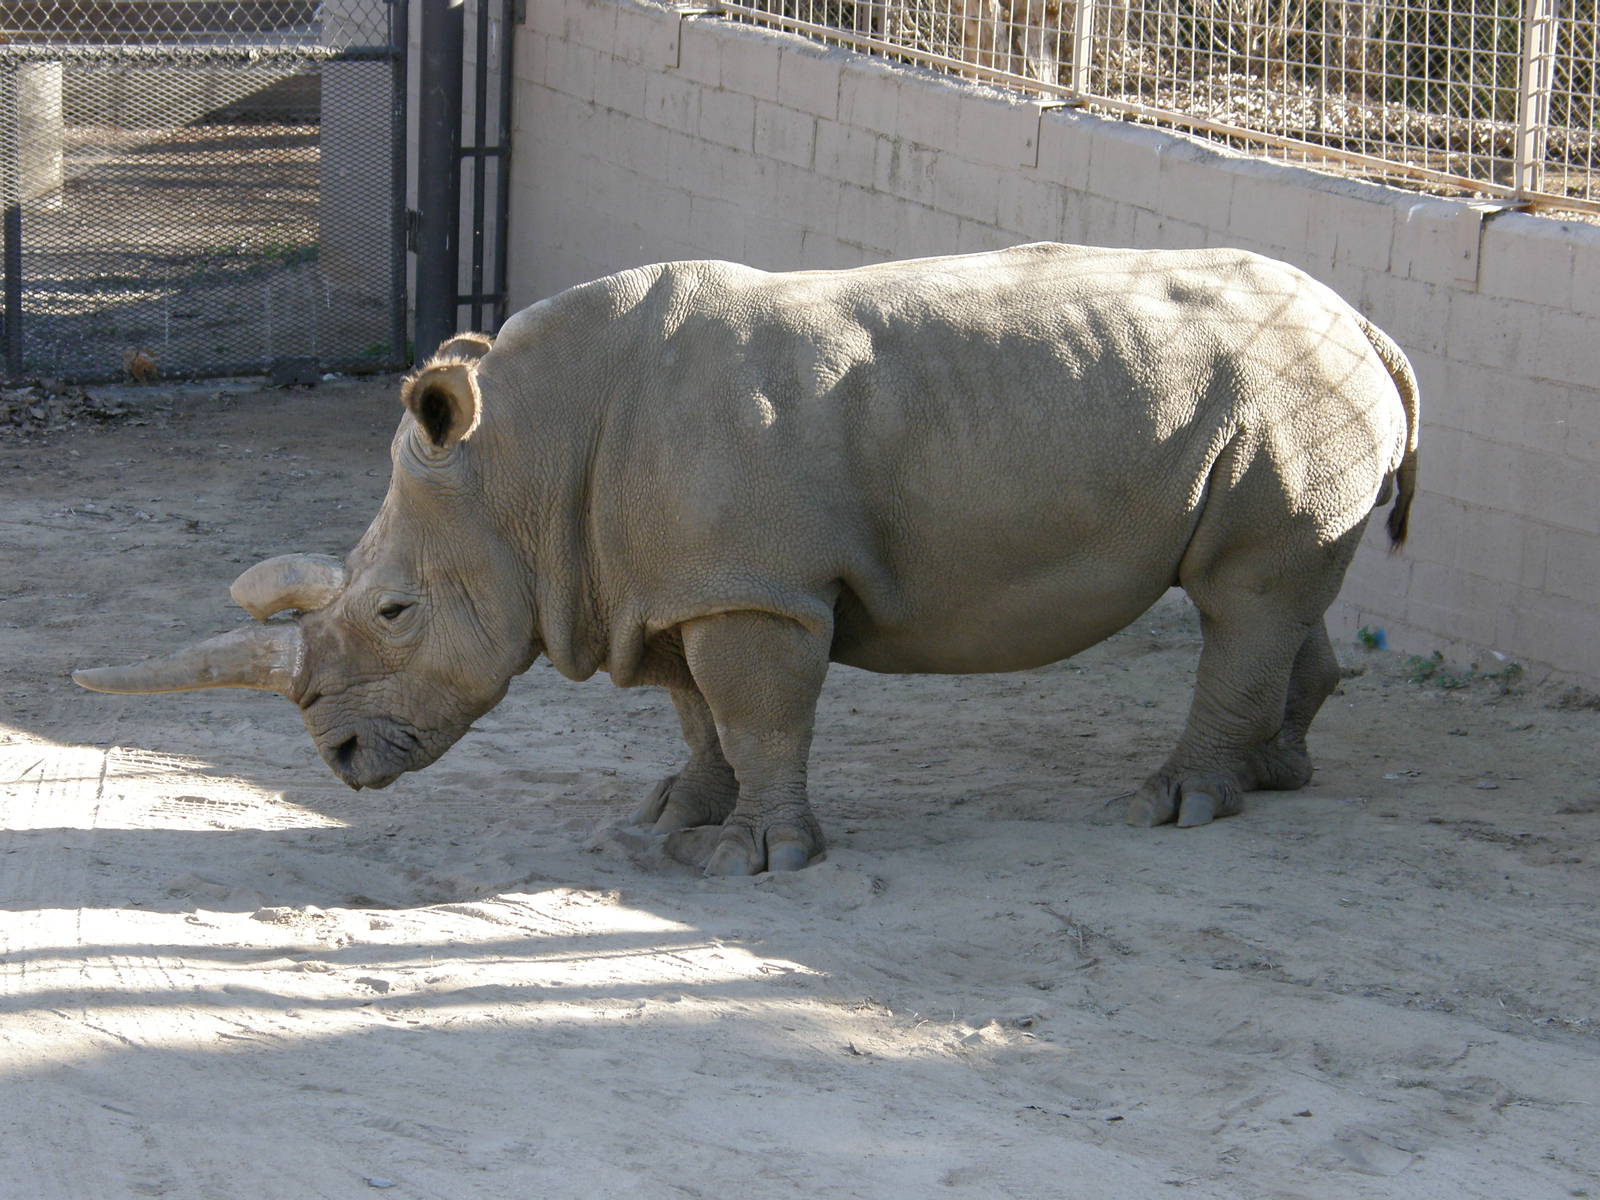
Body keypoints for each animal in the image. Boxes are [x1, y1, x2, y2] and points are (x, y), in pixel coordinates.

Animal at [76, 243, 1418, 875]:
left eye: (396, 613)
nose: (342, 762)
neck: (525, 461)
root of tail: (1367, 320)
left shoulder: (753, 590)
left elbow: (760, 713)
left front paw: (759, 859)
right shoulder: (667, 579)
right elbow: (695, 712)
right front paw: (674, 813)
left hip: (1286, 389)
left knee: (1244, 596)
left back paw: (1172, 807)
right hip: (1287, 403)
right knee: (1280, 585)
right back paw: (1275, 774)